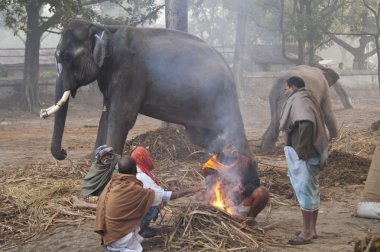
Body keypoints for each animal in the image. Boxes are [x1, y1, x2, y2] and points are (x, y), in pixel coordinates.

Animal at [40, 20, 252, 161]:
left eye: (66, 58)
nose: (65, 152)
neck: (103, 27)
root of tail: (226, 64)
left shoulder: (129, 73)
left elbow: (121, 118)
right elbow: (106, 115)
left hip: (222, 96)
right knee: (199, 135)